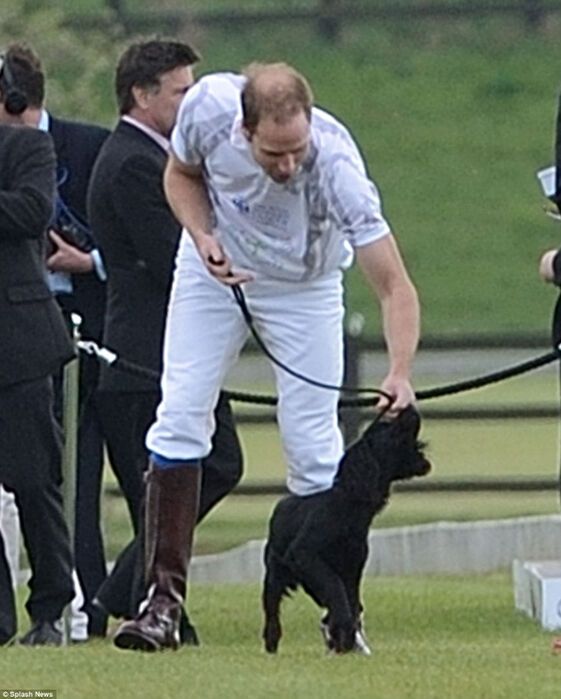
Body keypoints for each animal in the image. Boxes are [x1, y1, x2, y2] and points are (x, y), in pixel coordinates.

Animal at [262, 404, 428, 656]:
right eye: (385, 428)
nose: (408, 407)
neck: (346, 507)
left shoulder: (353, 566)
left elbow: (351, 600)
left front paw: (345, 641)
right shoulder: (304, 555)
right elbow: (336, 590)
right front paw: (344, 634)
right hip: (275, 572)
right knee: (272, 607)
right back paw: (272, 640)